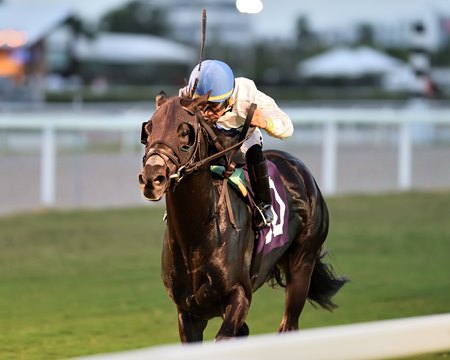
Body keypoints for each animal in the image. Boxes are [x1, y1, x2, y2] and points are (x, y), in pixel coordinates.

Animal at [139, 91, 346, 342]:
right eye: (148, 129)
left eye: (185, 131)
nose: (152, 178)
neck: (198, 236)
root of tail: (298, 168)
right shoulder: (188, 312)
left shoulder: (239, 295)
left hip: (303, 260)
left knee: (288, 324)